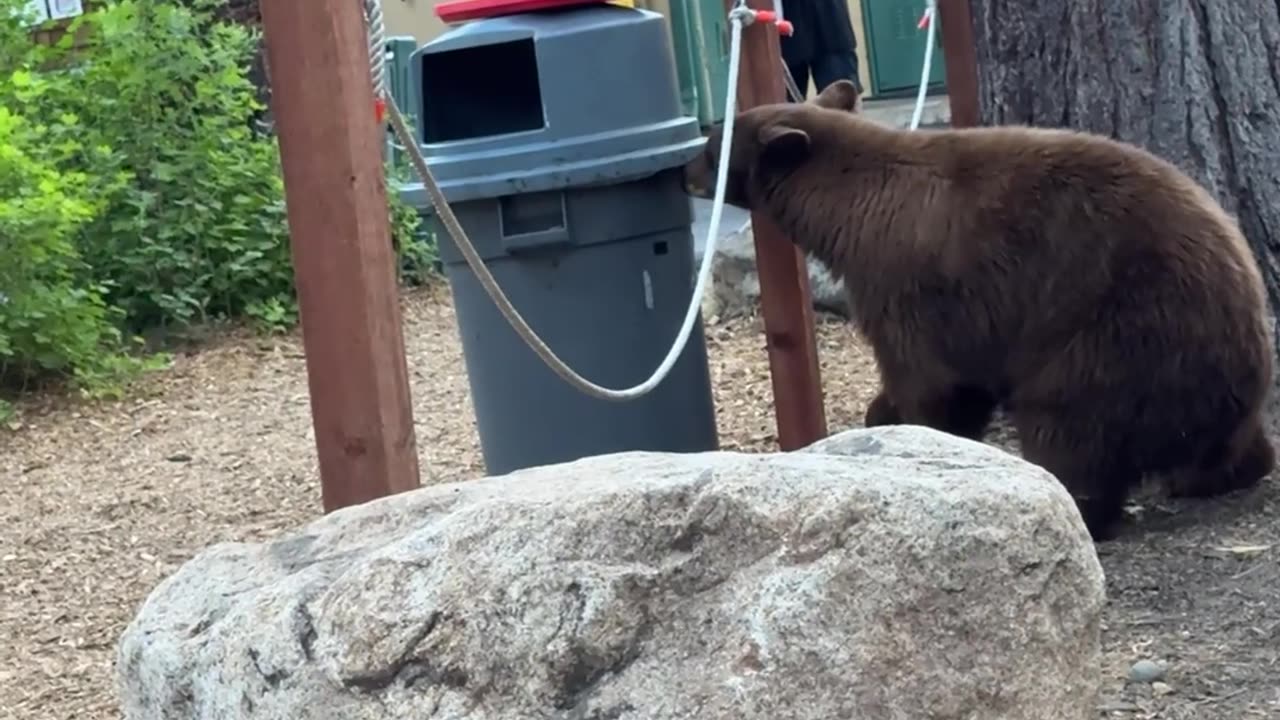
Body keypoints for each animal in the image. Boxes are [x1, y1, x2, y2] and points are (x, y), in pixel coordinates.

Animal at [691, 78, 1280, 538]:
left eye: (714, 144)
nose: (684, 167)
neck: (850, 210)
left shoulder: (904, 287)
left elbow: (930, 381)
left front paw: (915, 432)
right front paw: (881, 413)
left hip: (1113, 337)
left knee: (1070, 429)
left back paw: (1076, 500)